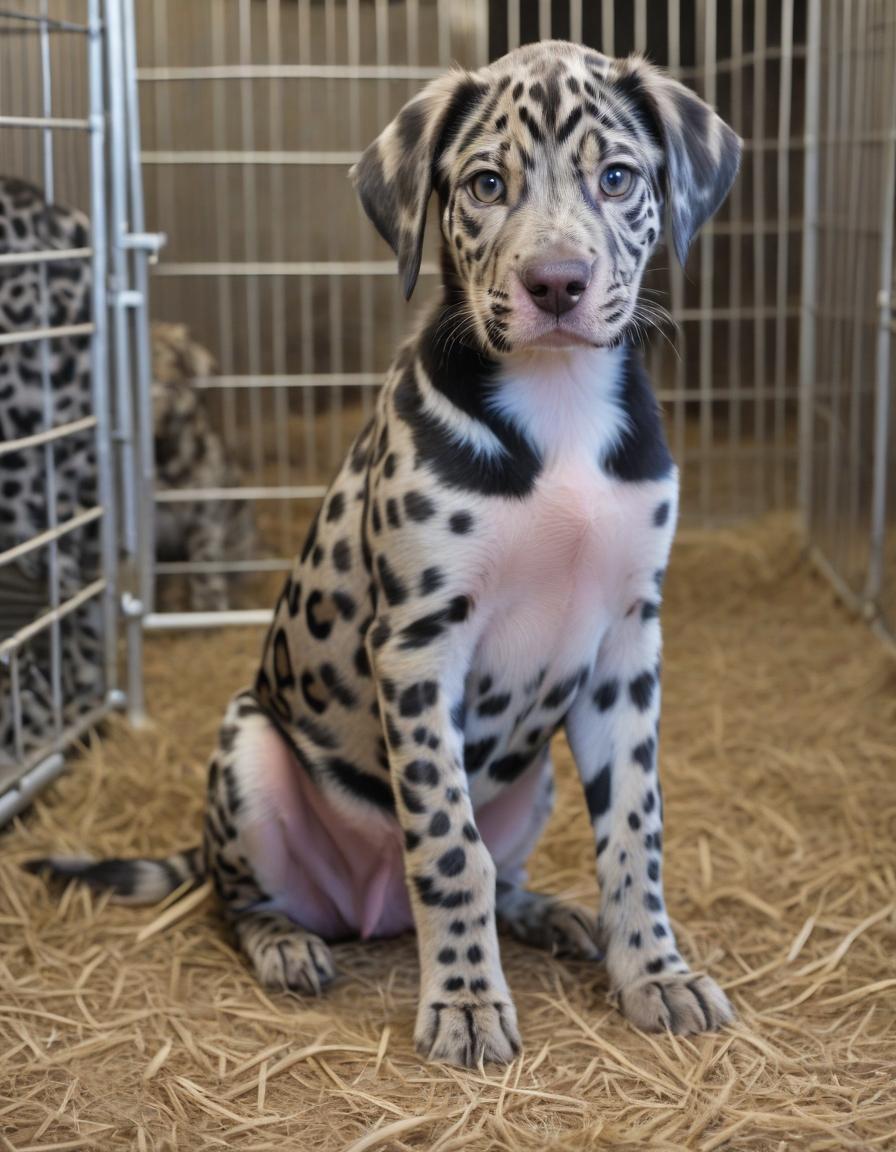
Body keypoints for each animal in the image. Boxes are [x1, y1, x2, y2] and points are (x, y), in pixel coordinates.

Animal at [29, 44, 741, 1069]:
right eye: (486, 185)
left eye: (617, 178)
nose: (556, 284)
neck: (558, 407)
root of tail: (370, 911)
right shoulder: (419, 642)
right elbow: (447, 842)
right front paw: (468, 1001)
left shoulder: (625, 646)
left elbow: (634, 835)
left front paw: (654, 970)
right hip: (248, 747)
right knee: (237, 897)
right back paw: (287, 942)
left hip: (537, 779)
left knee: (505, 867)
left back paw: (548, 914)